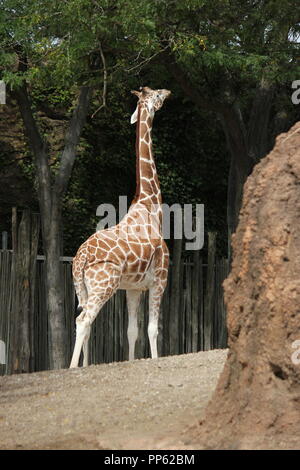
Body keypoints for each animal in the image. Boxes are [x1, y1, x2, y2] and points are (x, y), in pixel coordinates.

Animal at [69, 87, 170, 368]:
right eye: (156, 95)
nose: (168, 91)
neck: (150, 205)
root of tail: (80, 260)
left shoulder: (133, 287)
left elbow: (131, 330)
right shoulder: (160, 278)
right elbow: (153, 329)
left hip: (83, 289)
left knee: (86, 322)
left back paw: (85, 366)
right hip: (104, 284)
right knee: (83, 321)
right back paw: (71, 368)